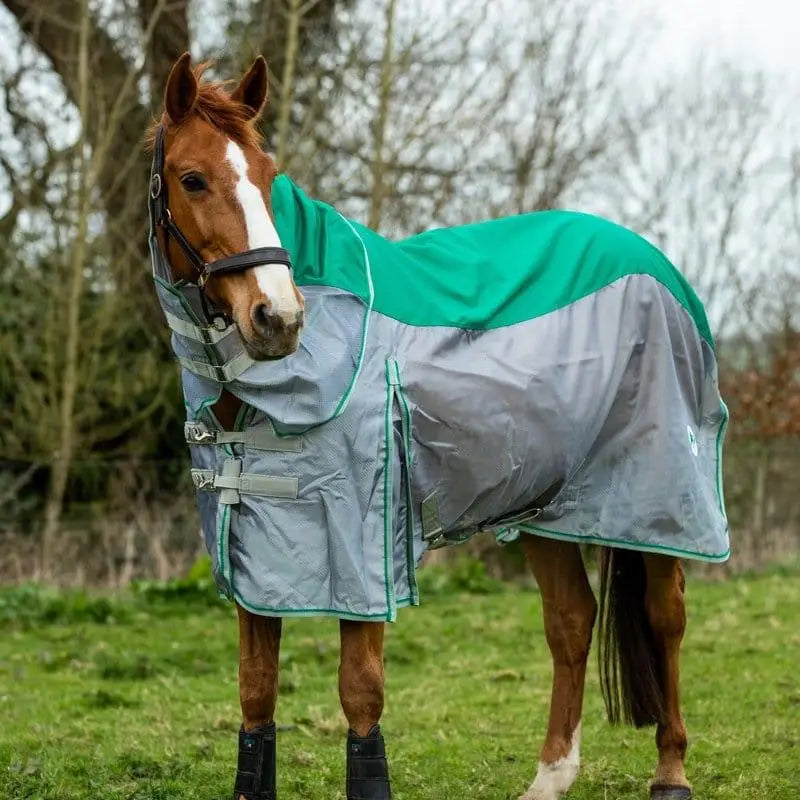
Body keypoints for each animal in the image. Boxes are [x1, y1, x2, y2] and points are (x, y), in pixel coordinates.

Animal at [146, 52, 729, 800]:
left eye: (270, 176)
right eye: (192, 178)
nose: (278, 317)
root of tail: (659, 268)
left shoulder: (363, 555)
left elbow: (361, 693)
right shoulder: (256, 562)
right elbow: (256, 694)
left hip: (657, 496)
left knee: (666, 617)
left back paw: (671, 771)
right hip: (546, 505)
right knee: (571, 622)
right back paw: (549, 777)